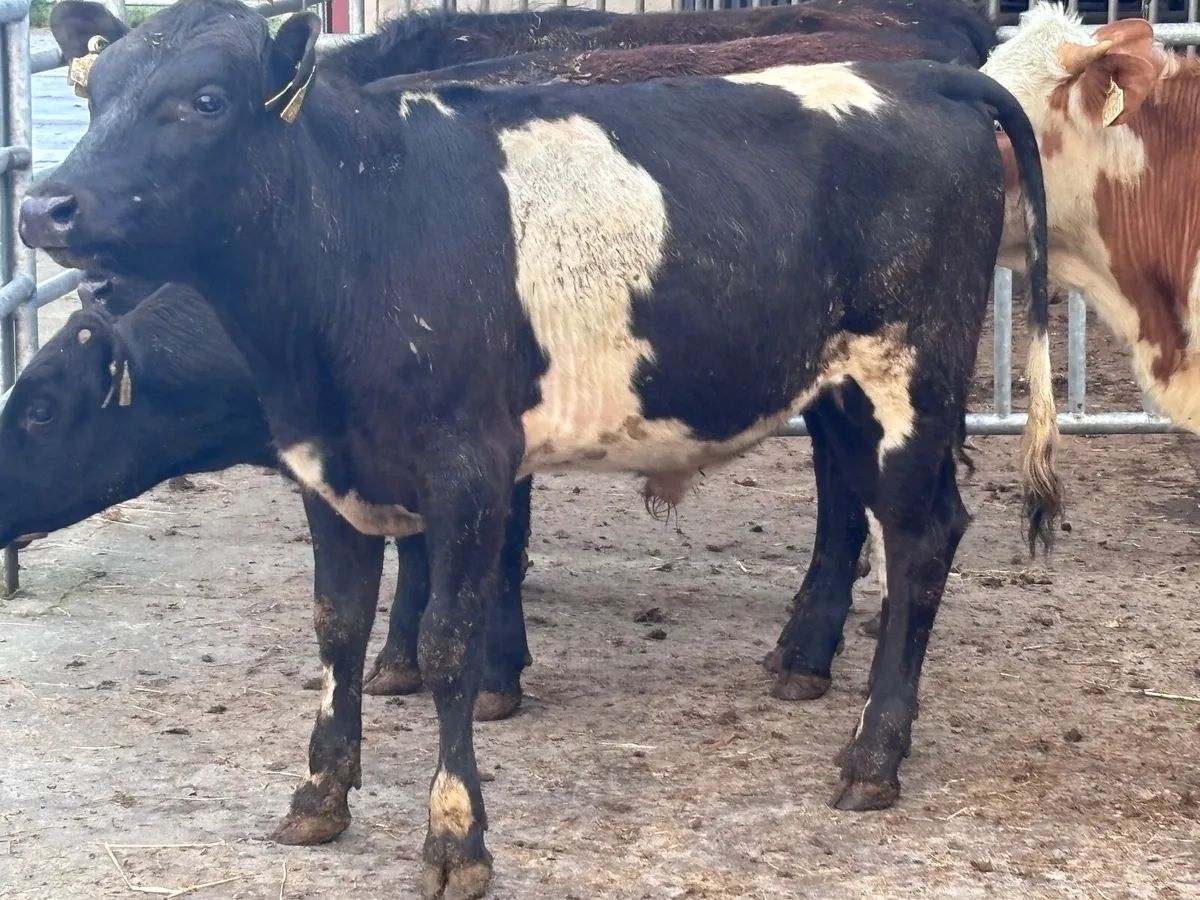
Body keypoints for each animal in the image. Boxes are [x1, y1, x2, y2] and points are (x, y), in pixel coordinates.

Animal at [20, 1, 1059, 894]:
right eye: (95, 91)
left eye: (205, 100)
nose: (43, 208)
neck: (366, 229)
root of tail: (920, 77)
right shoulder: (327, 469)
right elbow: (337, 626)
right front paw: (319, 793)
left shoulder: (470, 466)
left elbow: (451, 639)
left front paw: (456, 837)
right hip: (838, 390)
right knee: (868, 507)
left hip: (911, 380)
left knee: (922, 540)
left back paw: (873, 755)